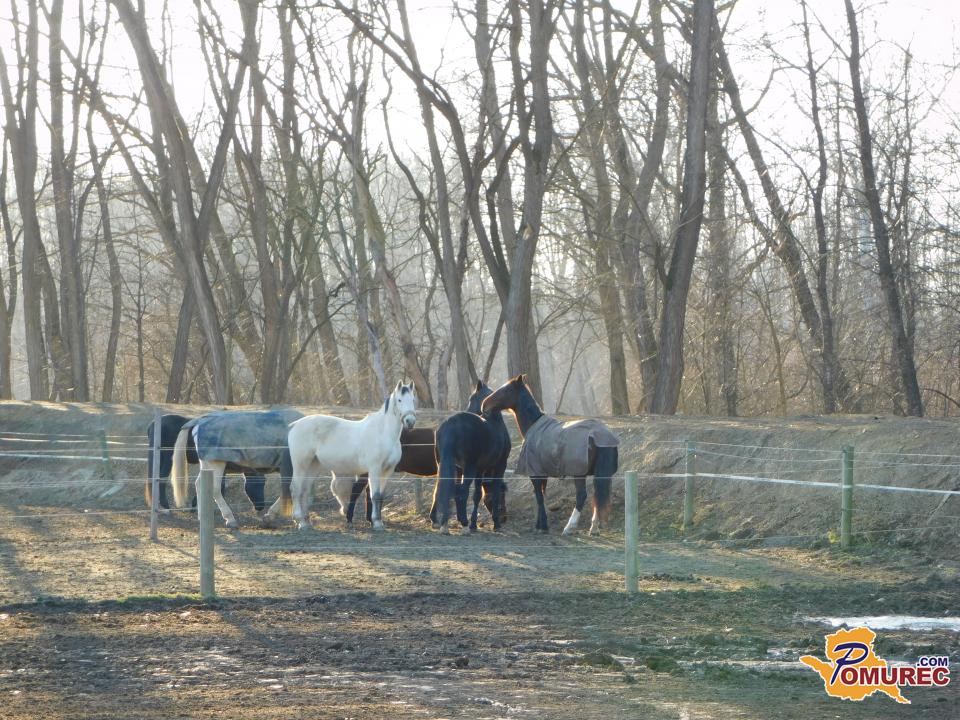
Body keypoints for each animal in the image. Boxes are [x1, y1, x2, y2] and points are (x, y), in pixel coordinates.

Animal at [169, 409, 303, 527]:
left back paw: (202, 517)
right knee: (215, 489)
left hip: (207, 465)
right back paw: (230, 519)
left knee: (200, 484)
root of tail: (199, 421)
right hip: (215, 464)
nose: (260, 506)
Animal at [271, 381, 416, 531]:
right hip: (301, 464)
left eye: (413, 400)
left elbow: (380, 496)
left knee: (304, 490)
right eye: (399, 400)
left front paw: (379, 522)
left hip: (313, 465)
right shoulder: (375, 469)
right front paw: (376, 523)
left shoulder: (387, 471)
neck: (383, 433)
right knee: (295, 488)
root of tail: (294, 425)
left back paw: (306, 522)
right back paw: (299, 519)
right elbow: (374, 496)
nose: (410, 421)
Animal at [432, 380, 511, 533]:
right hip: (468, 468)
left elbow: (477, 495)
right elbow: (493, 492)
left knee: (442, 488)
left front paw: (474, 523)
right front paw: (495, 523)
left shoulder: (479, 470)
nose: (504, 517)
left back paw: (442, 522)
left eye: (471, 399)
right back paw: (463, 523)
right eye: (504, 494)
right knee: (461, 491)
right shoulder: (500, 466)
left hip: (446, 465)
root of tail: (451, 424)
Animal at [482, 374, 619, 535]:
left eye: (506, 390)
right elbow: (542, 496)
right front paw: (539, 524)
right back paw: (594, 527)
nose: (484, 405)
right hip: (602, 474)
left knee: (582, 496)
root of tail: (600, 434)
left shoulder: (535, 474)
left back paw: (569, 527)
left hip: (578, 474)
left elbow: (539, 497)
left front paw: (543, 526)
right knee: (599, 495)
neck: (534, 425)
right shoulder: (542, 474)